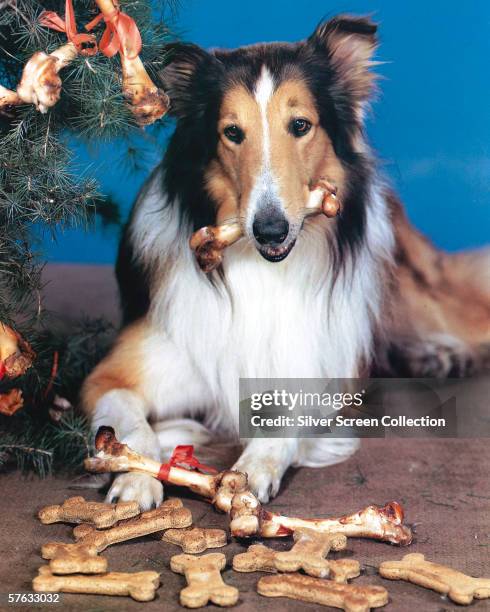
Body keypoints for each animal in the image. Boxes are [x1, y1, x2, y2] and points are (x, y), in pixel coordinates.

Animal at [81, 16, 490, 510]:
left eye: (300, 125)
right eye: (231, 132)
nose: (270, 230)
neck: (264, 270)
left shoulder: (323, 370)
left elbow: (285, 416)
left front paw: (253, 469)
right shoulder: (113, 375)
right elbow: (127, 422)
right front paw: (135, 476)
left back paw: (442, 351)